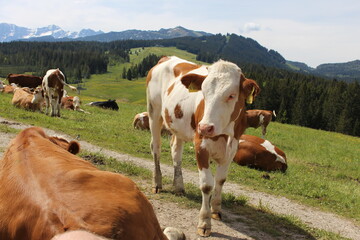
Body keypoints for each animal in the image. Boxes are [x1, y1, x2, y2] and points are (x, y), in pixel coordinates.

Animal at [146, 55, 258, 236]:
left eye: (232, 95)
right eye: (203, 93)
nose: (205, 127)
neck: (224, 133)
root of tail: (167, 57)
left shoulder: (232, 148)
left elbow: (221, 180)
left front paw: (216, 210)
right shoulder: (201, 145)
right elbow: (207, 185)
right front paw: (204, 222)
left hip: (178, 126)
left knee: (176, 151)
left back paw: (178, 186)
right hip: (154, 113)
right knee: (156, 147)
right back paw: (157, 183)